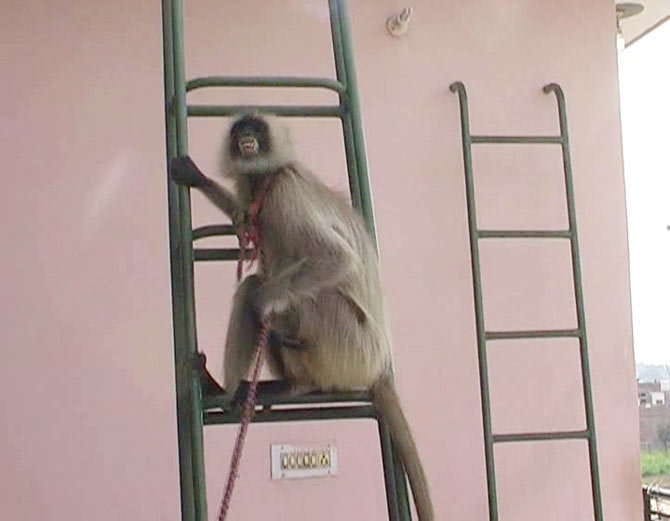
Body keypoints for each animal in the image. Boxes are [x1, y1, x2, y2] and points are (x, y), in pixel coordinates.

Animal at [170, 114, 434, 521]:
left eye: (257, 130)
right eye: (240, 130)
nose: (247, 138)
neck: (266, 177)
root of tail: (379, 367)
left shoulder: (285, 194)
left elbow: (335, 259)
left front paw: (264, 301)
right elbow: (243, 221)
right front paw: (198, 178)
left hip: (347, 345)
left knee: (269, 290)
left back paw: (229, 387)